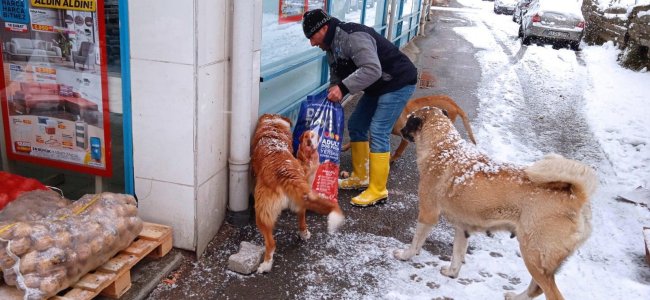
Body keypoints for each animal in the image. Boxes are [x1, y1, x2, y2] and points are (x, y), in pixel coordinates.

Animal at [251, 115, 346, 274]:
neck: (273, 129)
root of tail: (286, 174)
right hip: (301, 198)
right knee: (302, 218)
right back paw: (303, 233)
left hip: (262, 213)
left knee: (271, 243)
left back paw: (265, 265)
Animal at [392, 106, 596, 298]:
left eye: (408, 121)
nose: (400, 129)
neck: (443, 146)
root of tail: (576, 197)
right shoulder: (462, 228)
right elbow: (457, 254)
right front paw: (451, 273)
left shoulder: (427, 214)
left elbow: (416, 242)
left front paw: (405, 255)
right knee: (536, 289)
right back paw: (514, 297)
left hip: (533, 254)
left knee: (549, 292)